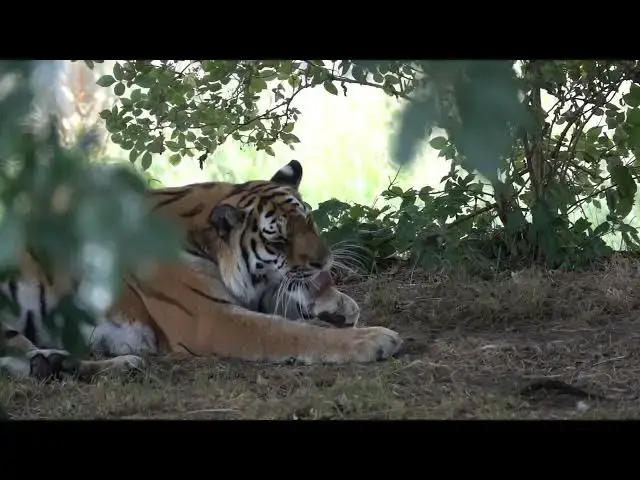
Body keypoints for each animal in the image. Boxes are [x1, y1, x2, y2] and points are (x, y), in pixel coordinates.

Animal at [0, 159, 403, 381]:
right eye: (278, 239)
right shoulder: (210, 319)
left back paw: (78, 364)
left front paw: (338, 305)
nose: (324, 262)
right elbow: (294, 332)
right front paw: (373, 339)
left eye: (310, 221)